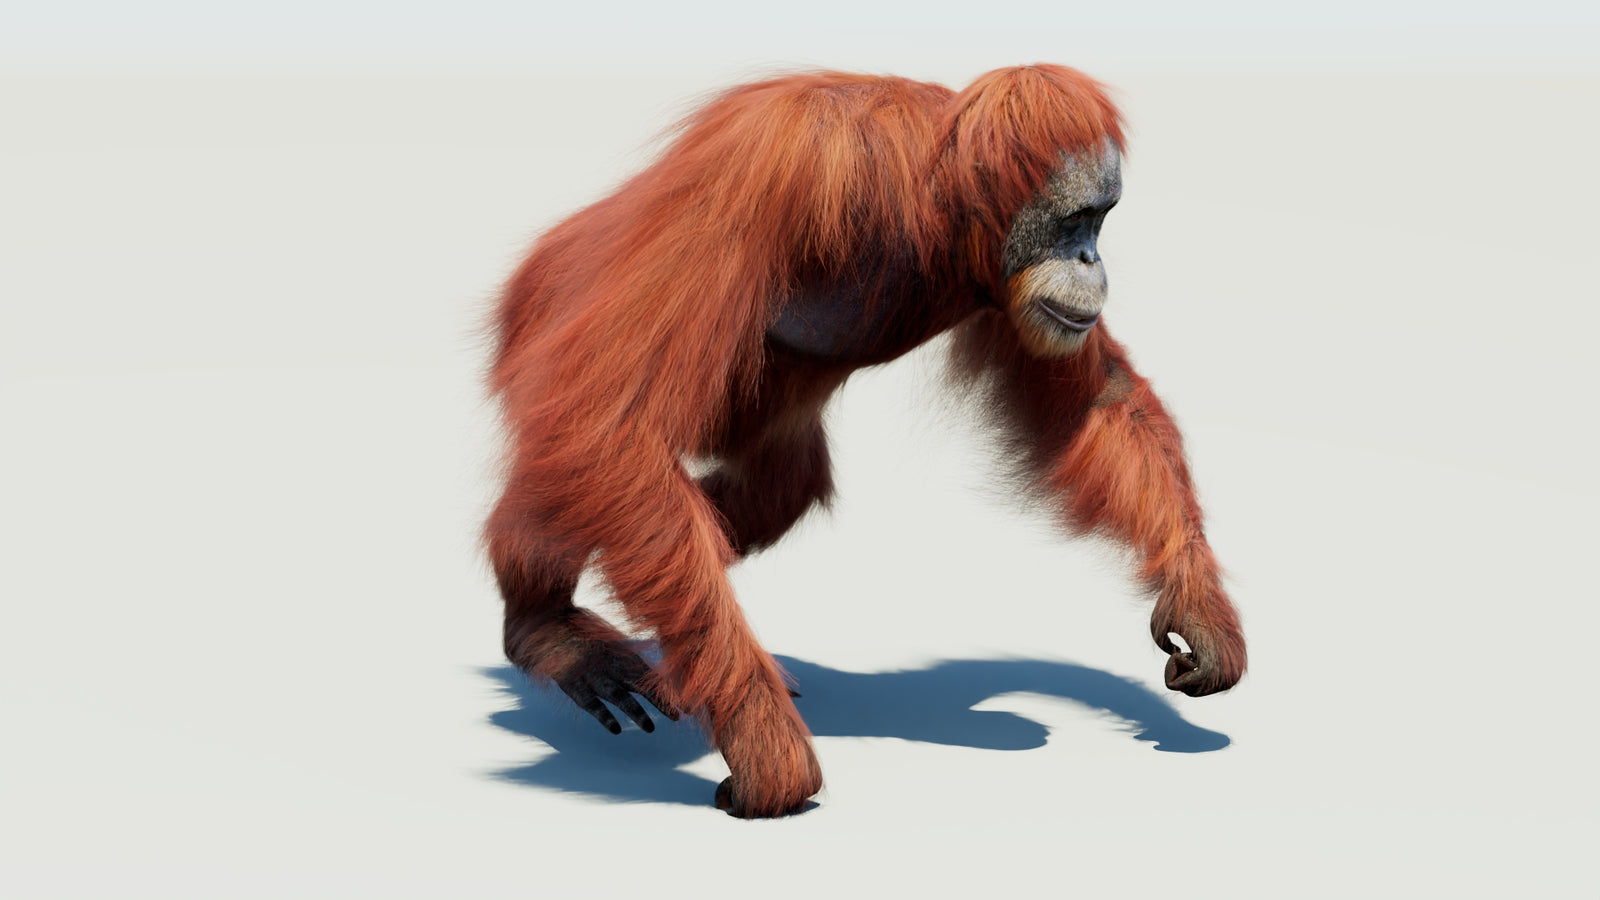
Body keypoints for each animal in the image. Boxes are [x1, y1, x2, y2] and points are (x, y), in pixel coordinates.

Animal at [486, 65, 1246, 818]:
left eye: (1100, 219)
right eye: (1075, 220)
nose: (1090, 258)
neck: (935, 207)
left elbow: (1098, 402)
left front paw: (1199, 606)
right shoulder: (788, 164)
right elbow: (616, 423)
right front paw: (765, 748)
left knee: (771, 488)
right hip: (543, 311)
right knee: (588, 445)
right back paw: (548, 626)